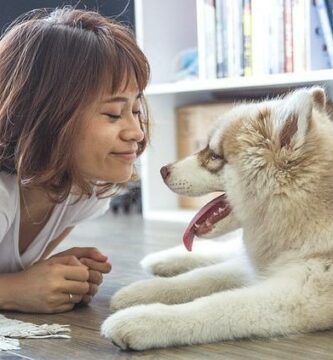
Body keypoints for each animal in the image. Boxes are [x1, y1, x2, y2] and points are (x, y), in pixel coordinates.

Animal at [100, 86, 332, 348]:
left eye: (214, 157)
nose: (162, 170)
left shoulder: (299, 293)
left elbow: (216, 305)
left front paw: (142, 319)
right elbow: (201, 277)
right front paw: (141, 291)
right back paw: (162, 260)